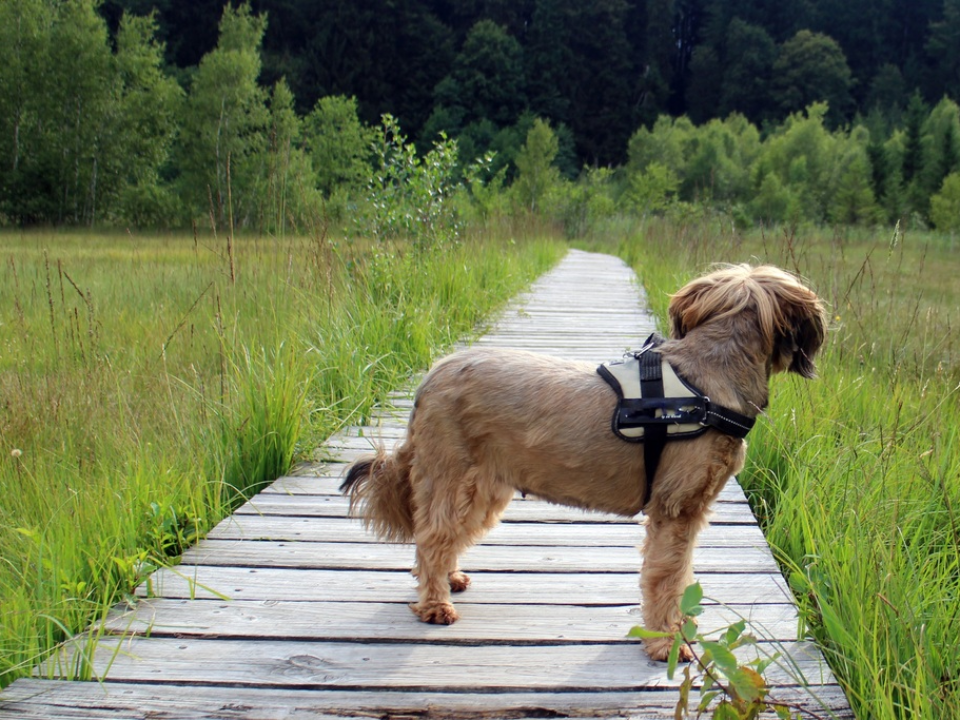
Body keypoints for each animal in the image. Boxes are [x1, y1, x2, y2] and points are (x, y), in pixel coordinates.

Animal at [342, 262, 828, 660]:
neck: (705, 383)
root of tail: (430, 379)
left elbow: (681, 572)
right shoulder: (675, 509)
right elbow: (666, 575)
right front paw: (667, 641)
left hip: (483, 486)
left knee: (446, 535)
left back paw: (451, 578)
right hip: (451, 475)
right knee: (431, 538)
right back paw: (435, 603)